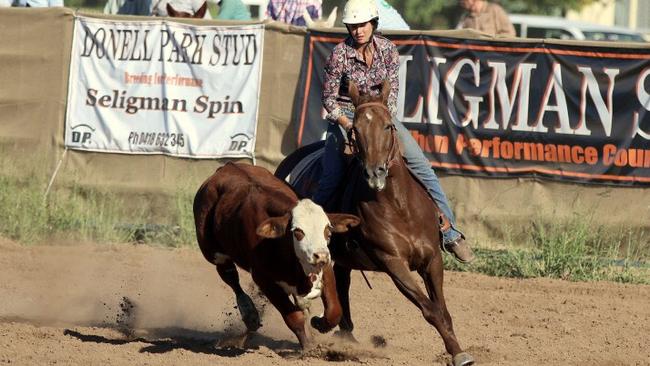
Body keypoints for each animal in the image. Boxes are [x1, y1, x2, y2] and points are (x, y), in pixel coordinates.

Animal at [274, 81, 470, 366]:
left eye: (388, 126)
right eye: (355, 129)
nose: (374, 173)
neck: (400, 207)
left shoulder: (432, 259)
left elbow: (442, 309)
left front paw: (457, 351)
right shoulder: (393, 262)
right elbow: (430, 309)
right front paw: (460, 354)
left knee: (342, 287)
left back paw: (345, 338)